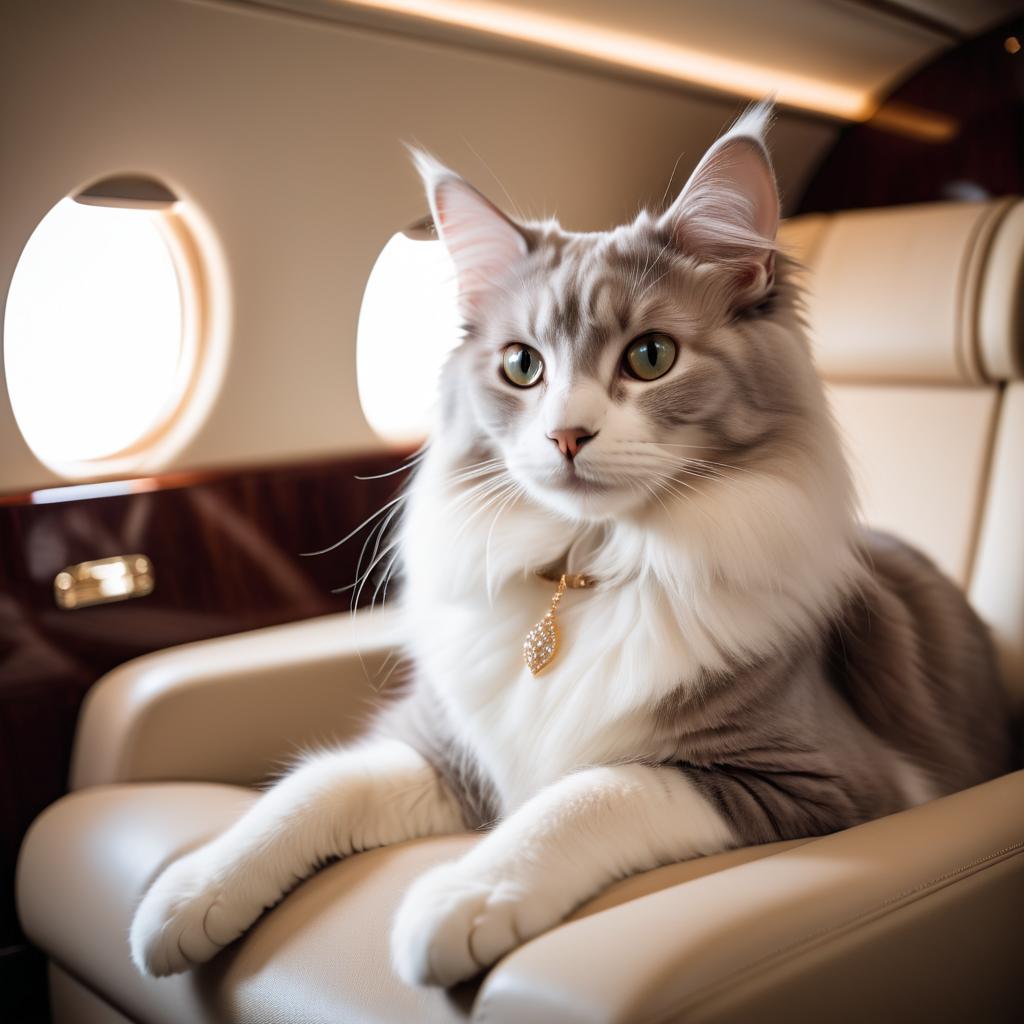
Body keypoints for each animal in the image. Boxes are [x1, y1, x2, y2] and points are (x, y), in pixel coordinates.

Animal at [130, 101, 1015, 983]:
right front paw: (188, 895)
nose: (565, 436)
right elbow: (316, 785)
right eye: (522, 366)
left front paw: (464, 898)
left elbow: (591, 792)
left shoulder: (816, 777)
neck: (583, 575)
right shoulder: (446, 745)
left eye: (651, 356)